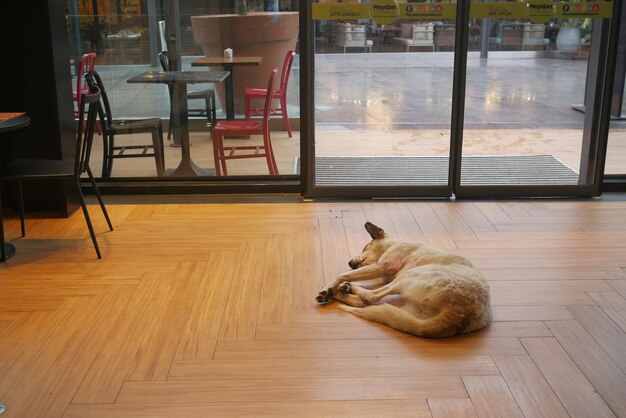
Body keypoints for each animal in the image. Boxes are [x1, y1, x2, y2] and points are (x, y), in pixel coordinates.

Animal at [314, 222, 490, 336]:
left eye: (365, 247)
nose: (349, 263)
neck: (393, 243)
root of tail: (459, 315)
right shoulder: (383, 274)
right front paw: (331, 289)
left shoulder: (385, 266)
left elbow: (342, 274)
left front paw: (330, 287)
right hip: (411, 304)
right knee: (363, 302)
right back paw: (341, 292)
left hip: (412, 274)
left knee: (372, 296)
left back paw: (346, 289)